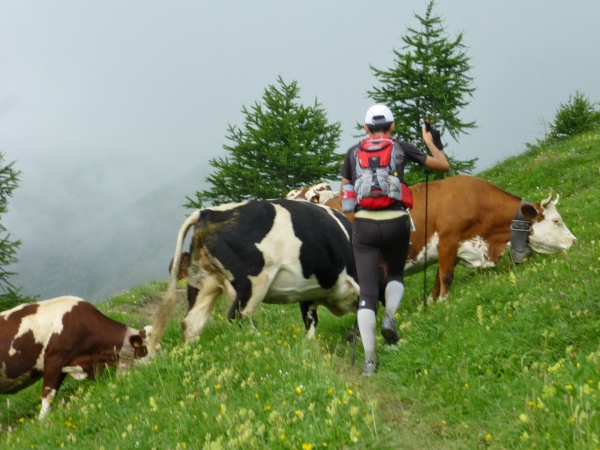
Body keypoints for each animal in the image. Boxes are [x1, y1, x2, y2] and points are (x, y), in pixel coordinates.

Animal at [1, 296, 156, 420]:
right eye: (147, 350)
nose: (157, 367)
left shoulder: (66, 364)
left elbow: (52, 394)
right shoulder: (54, 359)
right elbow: (48, 393)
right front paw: (42, 421)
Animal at [151, 199, 359, 349]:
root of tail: (207, 213)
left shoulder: (308, 294)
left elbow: (310, 322)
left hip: (203, 282)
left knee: (191, 322)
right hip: (251, 282)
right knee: (239, 315)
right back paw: (261, 342)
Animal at [311, 175, 577, 300]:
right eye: (556, 221)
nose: (574, 241)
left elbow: (438, 277)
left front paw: (431, 301)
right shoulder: (449, 239)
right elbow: (446, 275)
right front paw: (442, 301)